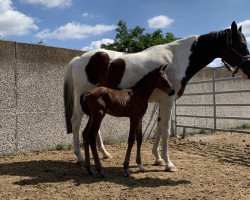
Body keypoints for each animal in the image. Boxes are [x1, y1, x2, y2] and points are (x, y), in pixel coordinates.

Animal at [64, 21, 250, 172]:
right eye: (241, 45)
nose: (249, 70)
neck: (177, 59)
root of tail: (79, 59)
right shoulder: (167, 101)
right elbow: (165, 131)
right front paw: (169, 164)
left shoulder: (163, 102)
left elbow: (159, 129)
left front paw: (158, 158)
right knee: (76, 122)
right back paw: (79, 157)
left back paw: (104, 153)